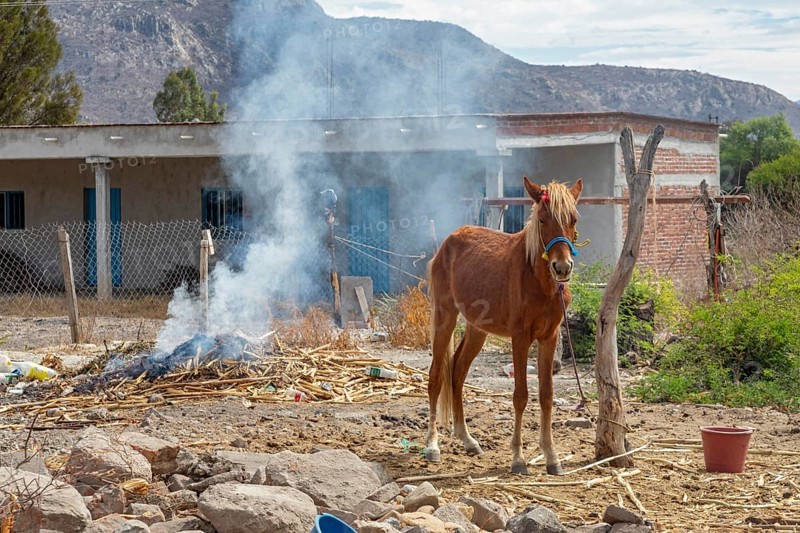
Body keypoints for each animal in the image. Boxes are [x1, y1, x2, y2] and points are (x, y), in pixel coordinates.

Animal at [425, 176, 583, 475]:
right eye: (542, 219)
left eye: (574, 218)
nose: (562, 268)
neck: (538, 281)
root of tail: (448, 242)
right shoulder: (520, 338)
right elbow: (520, 395)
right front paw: (518, 459)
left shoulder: (549, 337)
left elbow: (546, 395)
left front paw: (552, 457)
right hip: (444, 318)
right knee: (436, 376)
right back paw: (432, 445)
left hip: (477, 329)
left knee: (457, 372)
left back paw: (468, 440)